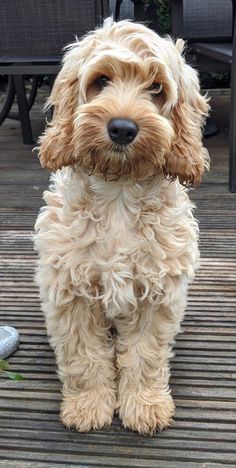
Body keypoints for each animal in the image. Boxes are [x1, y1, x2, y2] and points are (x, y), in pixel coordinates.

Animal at [34, 18, 209, 436]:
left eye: (157, 88)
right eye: (100, 80)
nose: (123, 129)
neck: (118, 193)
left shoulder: (157, 294)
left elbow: (144, 356)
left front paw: (145, 407)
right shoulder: (71, 290)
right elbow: (85, 356)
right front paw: (87, 407)